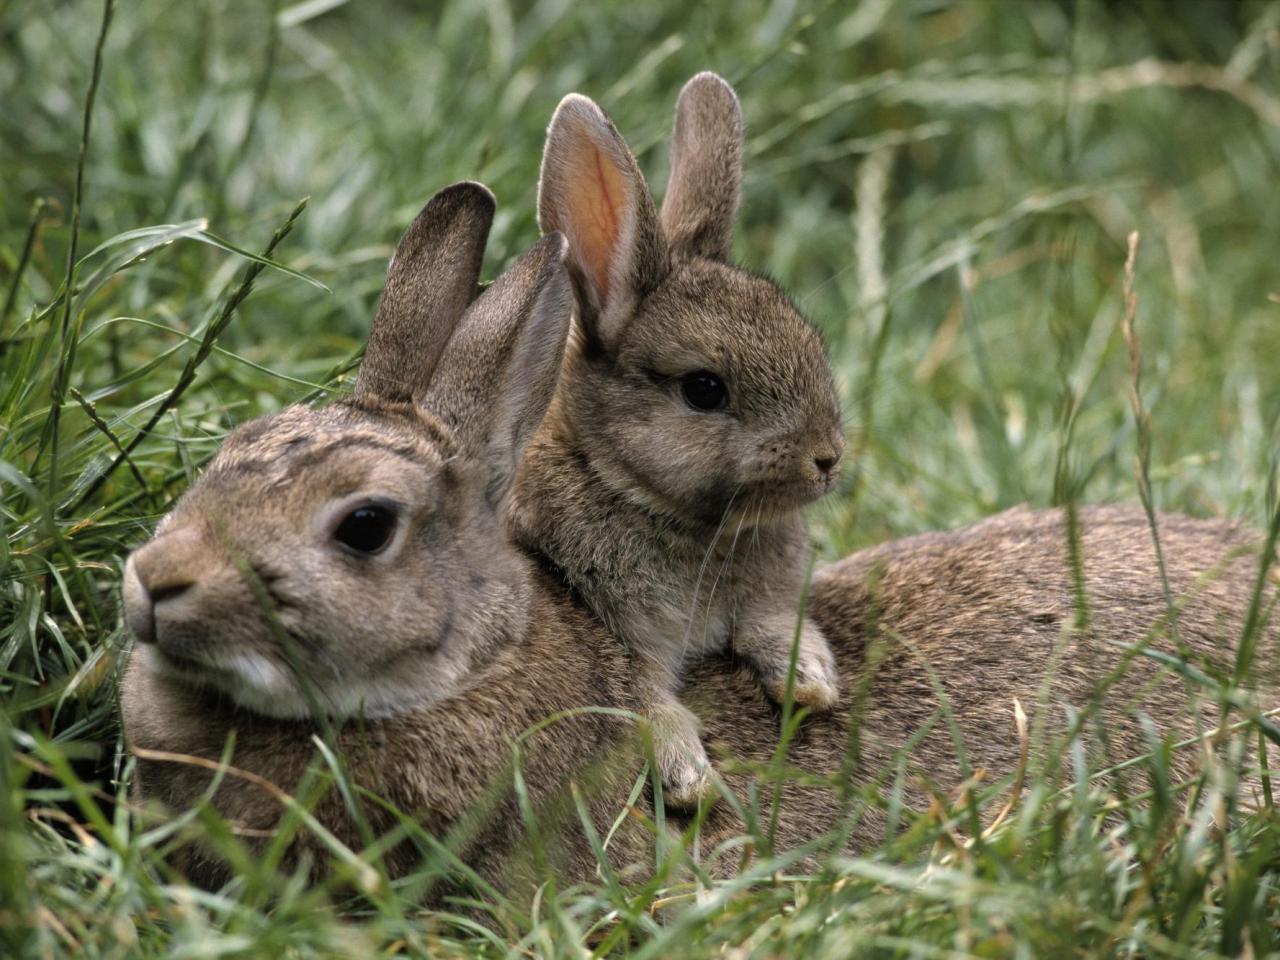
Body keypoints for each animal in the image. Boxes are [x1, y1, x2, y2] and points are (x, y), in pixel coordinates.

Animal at [504, 75, 844, 808]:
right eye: (704, 389)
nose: (828, 459)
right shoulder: (616, 632)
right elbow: (643, 697)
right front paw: (689, 777)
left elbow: (771, 622)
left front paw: (810, 679)